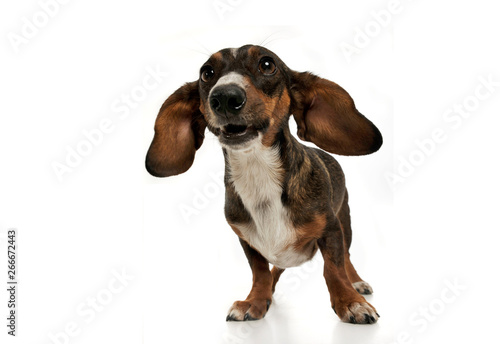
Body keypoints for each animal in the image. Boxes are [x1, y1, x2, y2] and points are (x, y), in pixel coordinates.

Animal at [145, 44, 382, 324]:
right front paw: (255, 301)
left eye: (267, 65)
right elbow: (260, 273)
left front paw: (350, 303)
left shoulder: (331, 229)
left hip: (345, 221)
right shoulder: (248, 242)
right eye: (207, 73)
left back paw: (356, 283)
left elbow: (333, 269)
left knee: (346, 258)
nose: (224, 97)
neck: (257, 170)